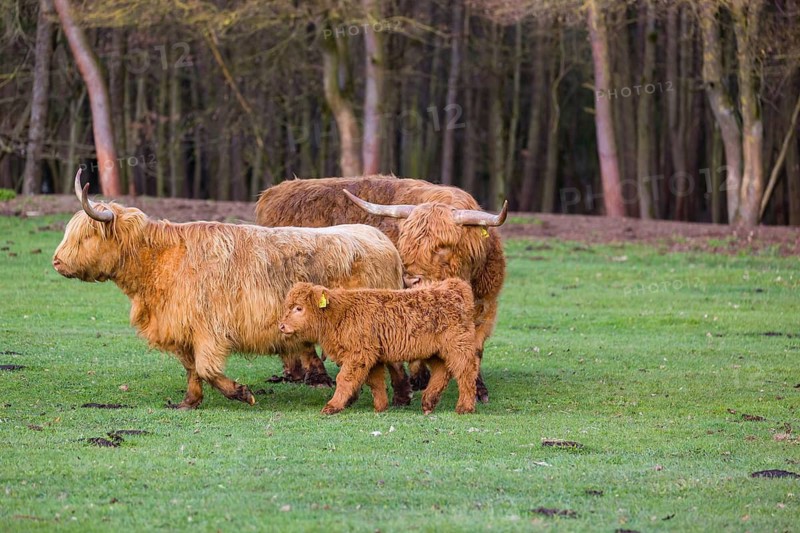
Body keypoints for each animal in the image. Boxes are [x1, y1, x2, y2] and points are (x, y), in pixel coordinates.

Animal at [52, 169, 411, 409]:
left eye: (86, 236)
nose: (56, 261)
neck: (159, 262)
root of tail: (377, 236)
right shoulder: (183, 327)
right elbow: (191, 368)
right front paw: (189, 401)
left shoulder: (209, 330)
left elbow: (207, 368)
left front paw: (241, 393)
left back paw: (401, 396)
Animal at [279, 279, 478, 415]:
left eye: (299, 308)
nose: (281, 326)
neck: (340, 313)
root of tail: (452, 287)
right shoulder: (372, 356)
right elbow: (375, 382)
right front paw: (381, 407)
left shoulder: (359, 354)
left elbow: (344, 379)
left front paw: (332, 406)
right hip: (435, 352)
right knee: (442, 372)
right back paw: (428, 402)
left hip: (459, 346)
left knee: (466, 372)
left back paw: (464, 407)